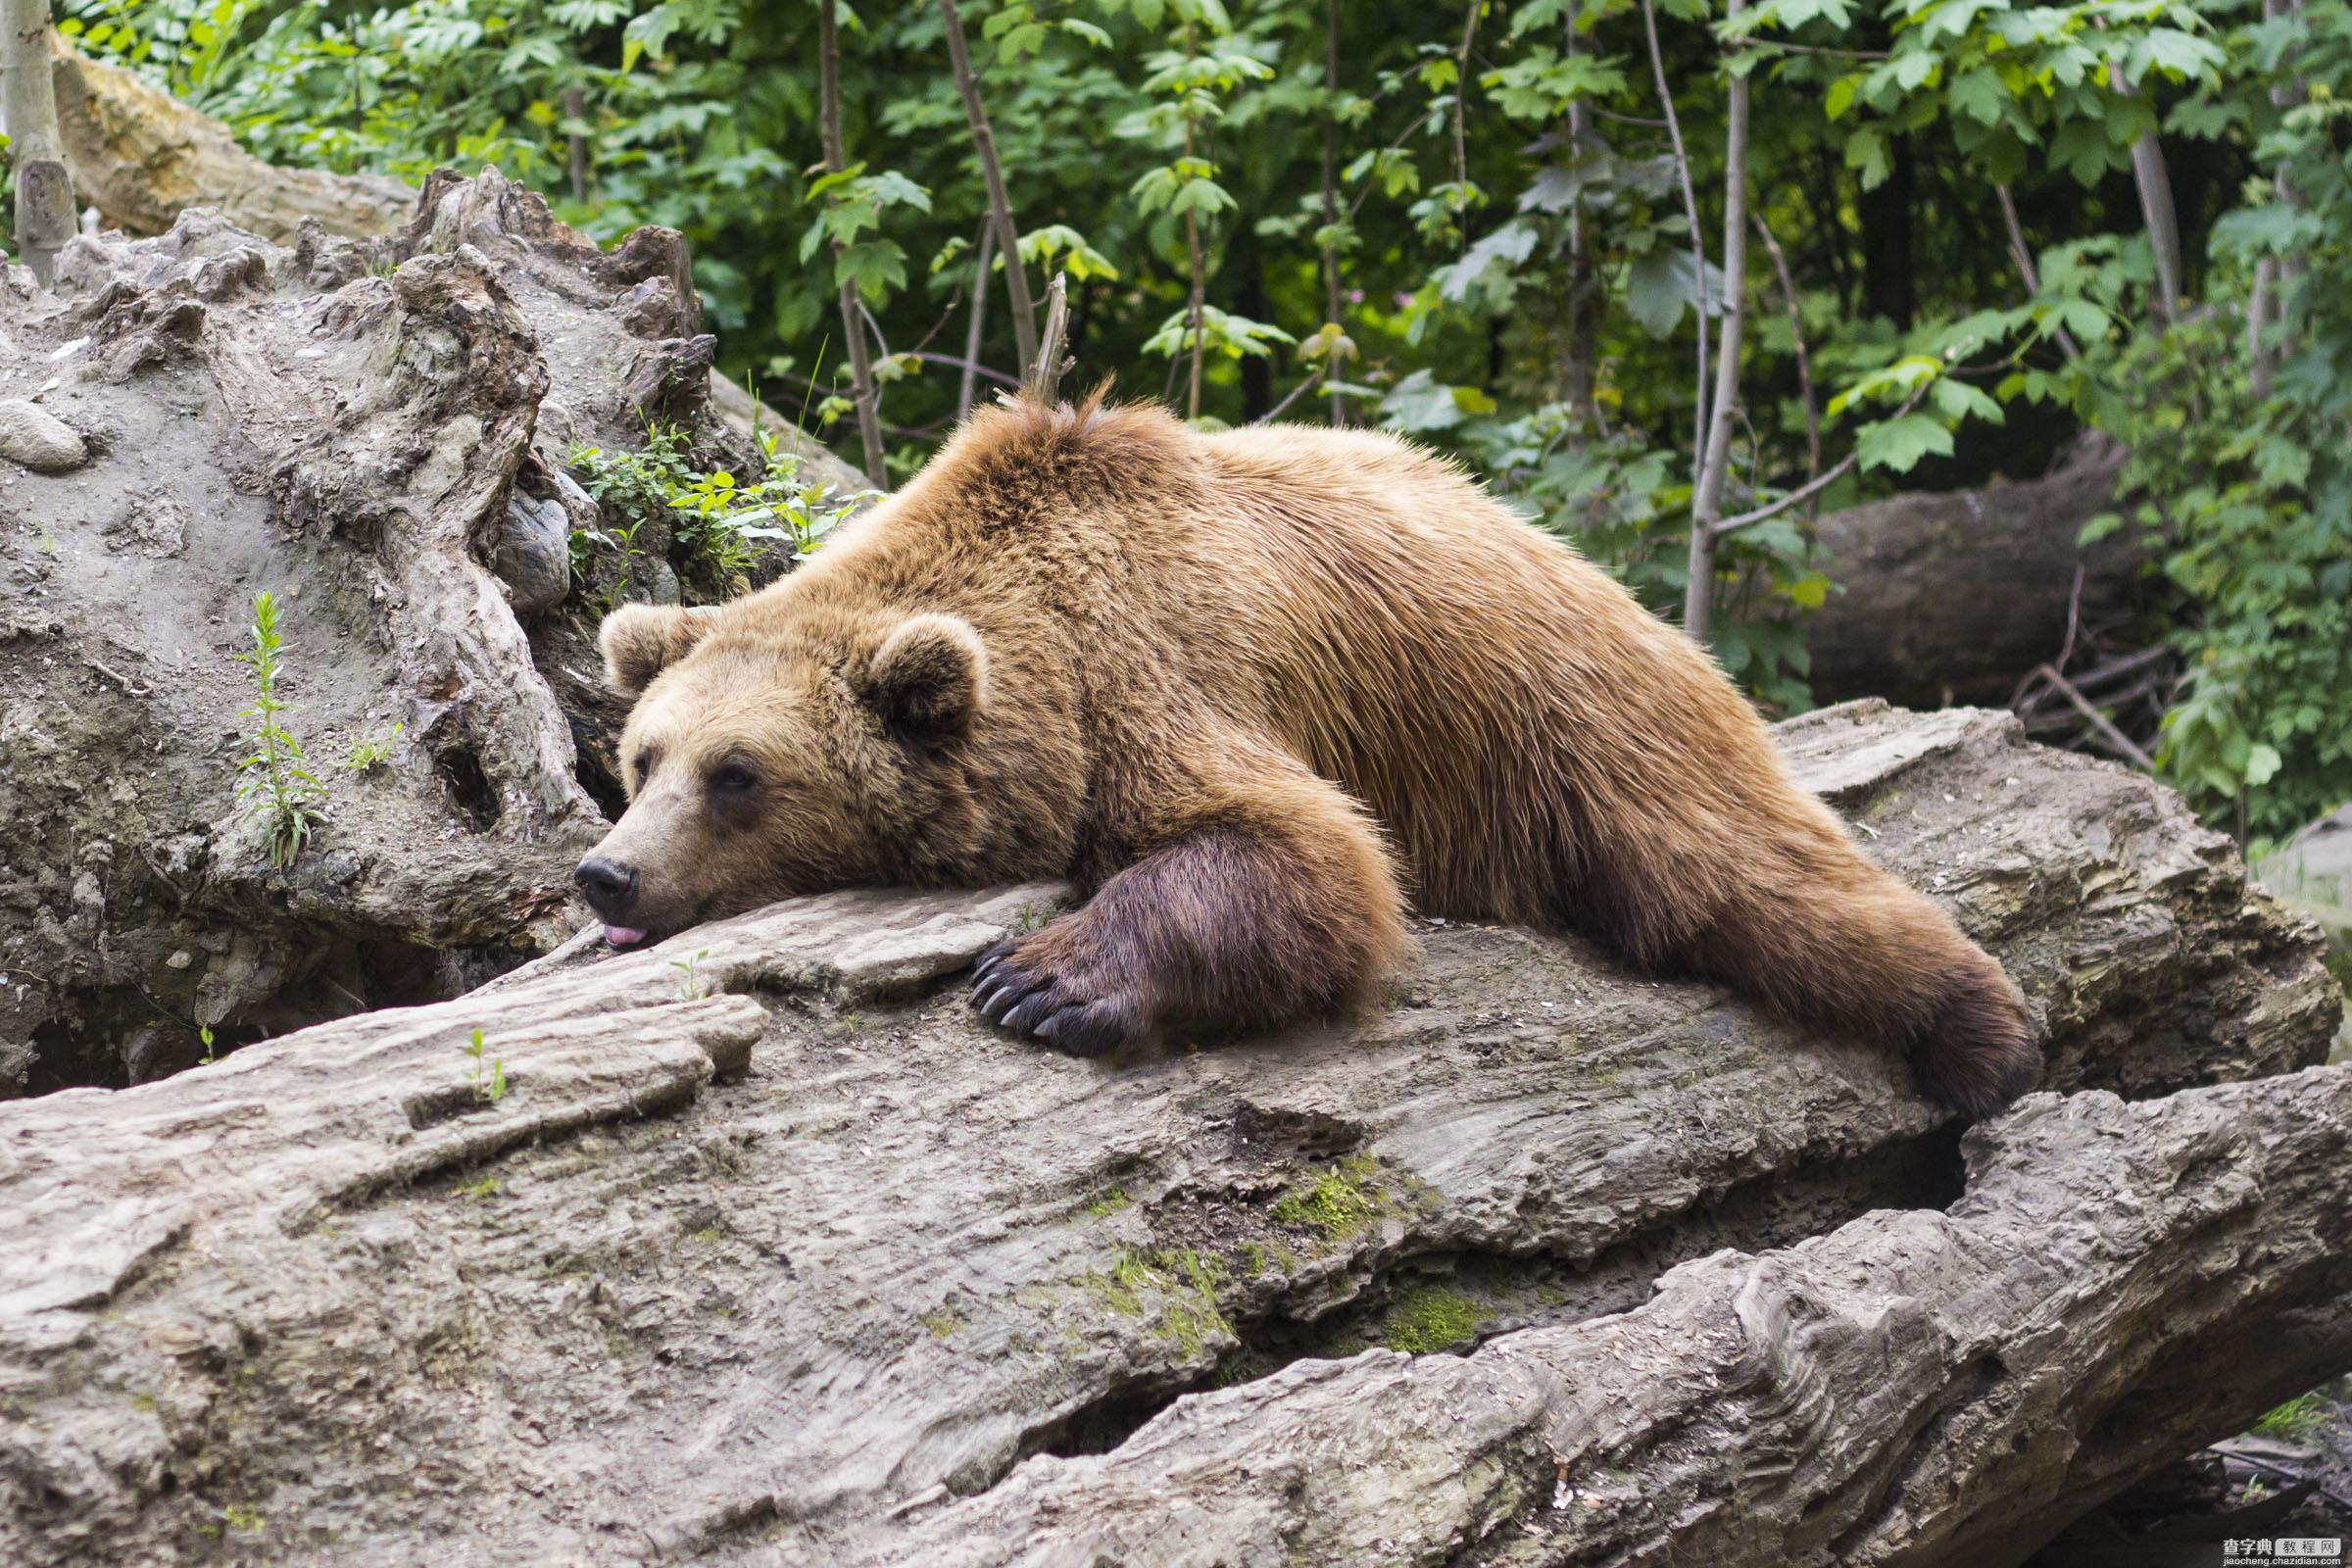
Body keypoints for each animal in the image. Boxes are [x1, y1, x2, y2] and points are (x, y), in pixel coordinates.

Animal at [583, 399, 2041, 1123]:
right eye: (642, 758)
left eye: (738, 774)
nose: (609, 875)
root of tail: (1572, 556)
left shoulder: (1161, 672)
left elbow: (1305, 855)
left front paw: (1041, 982)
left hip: (1574, 720)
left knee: (1741, 878)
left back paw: (1983, 1031)